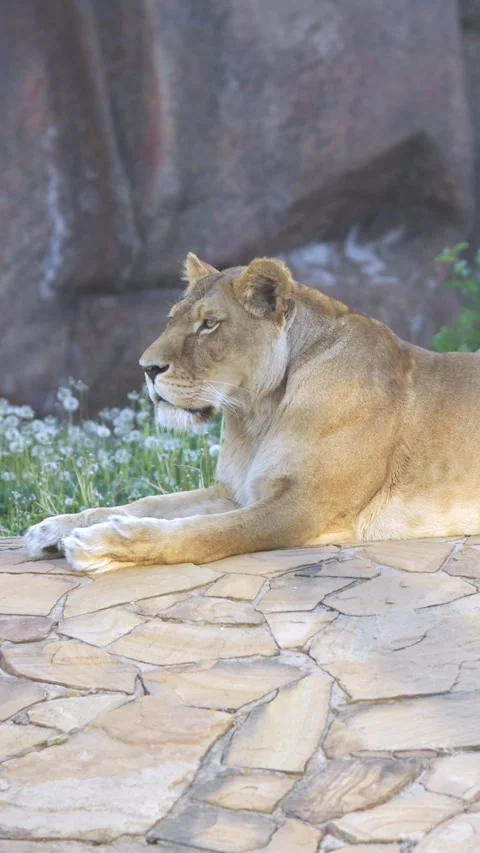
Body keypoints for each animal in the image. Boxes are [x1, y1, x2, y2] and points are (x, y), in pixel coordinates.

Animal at [25, 253, 480, 574]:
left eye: (209, 324)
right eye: (172, 319)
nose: (147, 368)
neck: (256, 415)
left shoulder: (305, 505)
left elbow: (202, 533)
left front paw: (100, 544)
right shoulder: (236, 490)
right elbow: (152, 503)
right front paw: (55, 527)